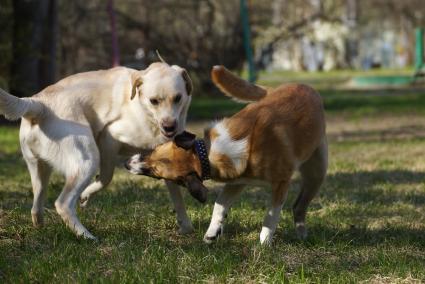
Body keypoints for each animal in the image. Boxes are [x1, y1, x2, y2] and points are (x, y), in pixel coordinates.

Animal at [124, 66, 326, 244]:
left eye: (155, 172)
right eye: (154, 150)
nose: (126, 164)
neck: (206, 153)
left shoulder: (281, 184)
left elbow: (271, 215)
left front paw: (264, 241)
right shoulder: (238, 181)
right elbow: (219, 205)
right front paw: (212, 232)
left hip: (317, 174)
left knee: (298, 206)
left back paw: (301, 233)